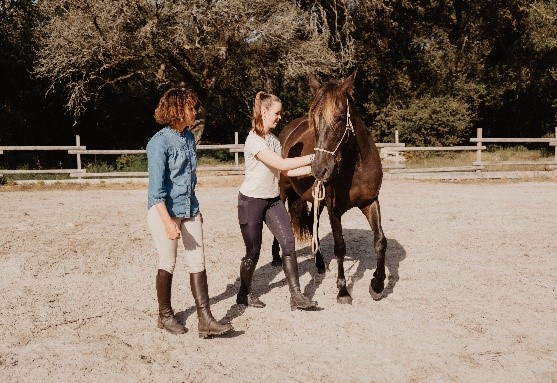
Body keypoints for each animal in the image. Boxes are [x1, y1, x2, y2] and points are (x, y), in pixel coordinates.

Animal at [270, 72, 384, 304]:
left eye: (339, 117)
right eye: (314, 119)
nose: (319, 169)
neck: (356, 167)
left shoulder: (371, 202)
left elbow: (379, 241)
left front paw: (377, 284)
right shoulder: (335, 210)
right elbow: (339, 247)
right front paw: (343, 291)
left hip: (317, 200)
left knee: (313, 226)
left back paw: (320, 263)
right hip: (283, 191)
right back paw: (276, 257)